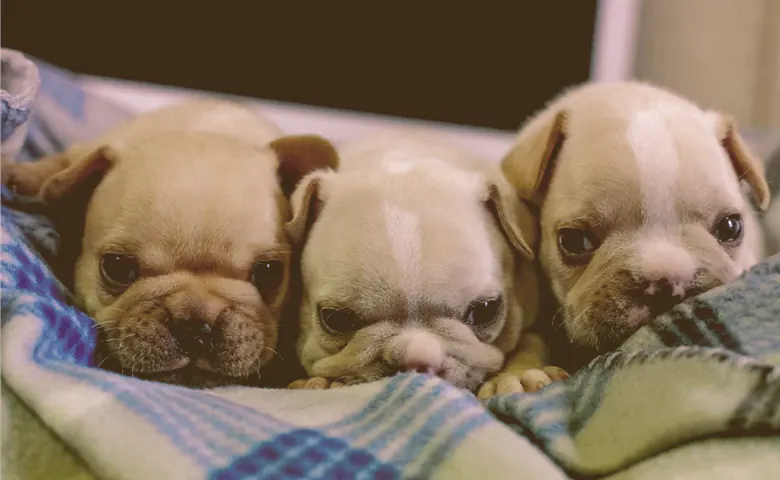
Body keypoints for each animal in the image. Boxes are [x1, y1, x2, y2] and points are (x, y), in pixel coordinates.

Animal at [286, 129, 568, 396]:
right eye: (336, 319)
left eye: (485, 310)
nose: (417, 358)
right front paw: (316, 383)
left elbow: (530, 340)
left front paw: (517, 375)